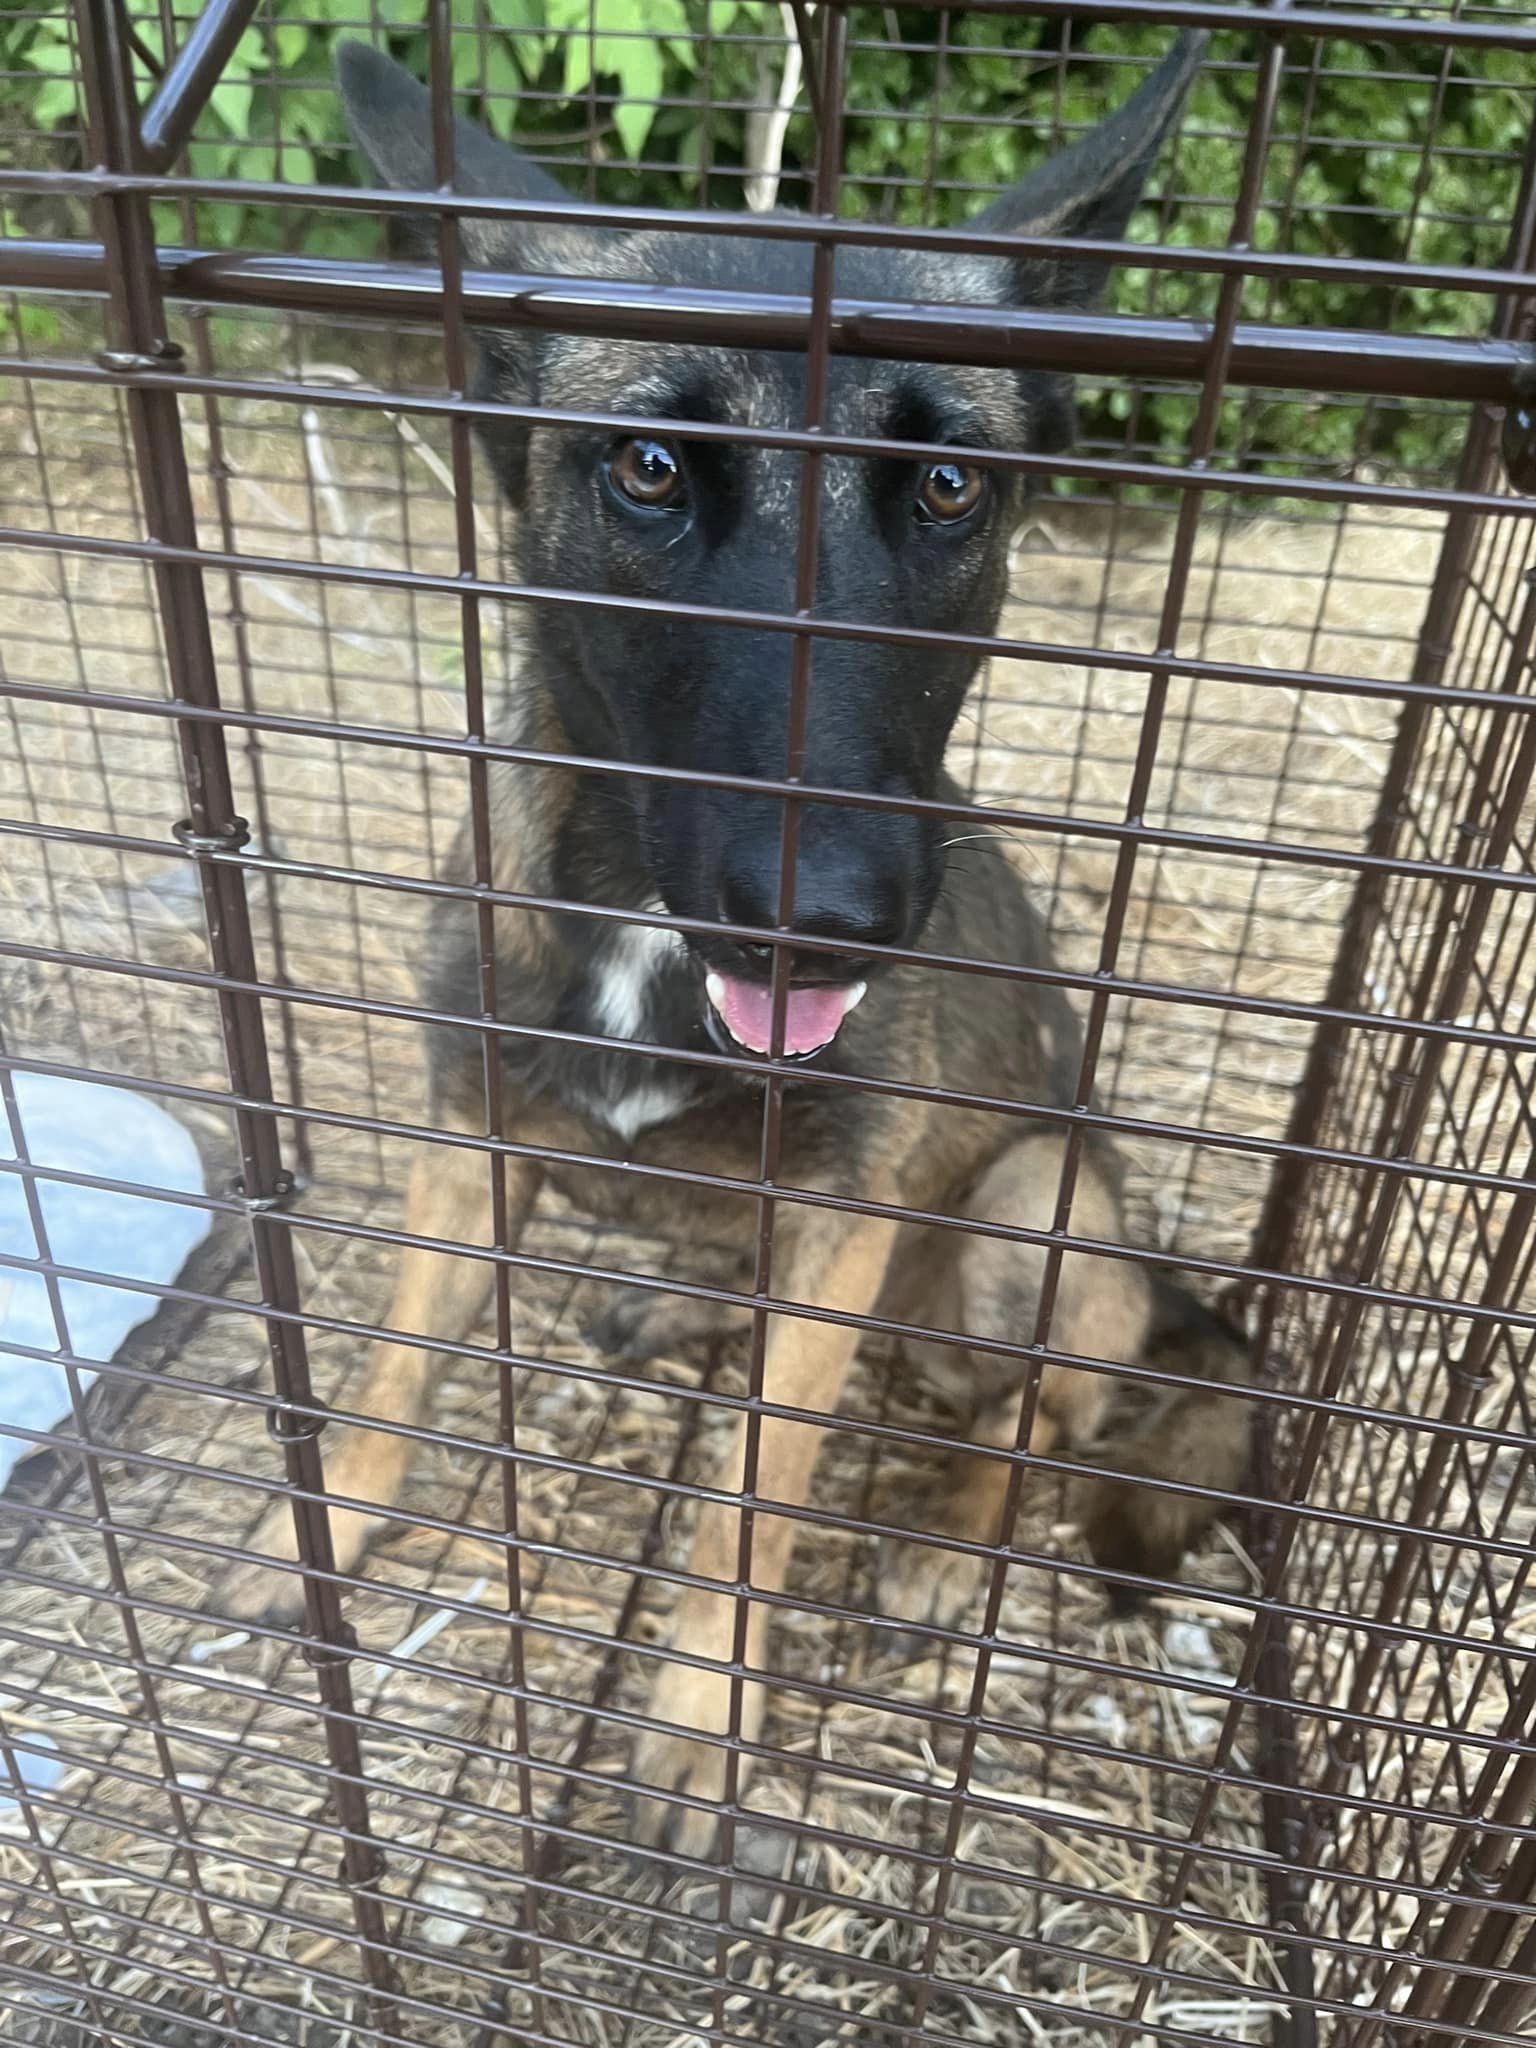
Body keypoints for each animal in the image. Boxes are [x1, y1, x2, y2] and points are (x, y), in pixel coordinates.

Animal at [217, 32, 1253, 1859]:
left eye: (948, 484)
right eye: (646, 470)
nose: (827, 914)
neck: (641, 921)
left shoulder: (840, 1221)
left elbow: (750, 1497)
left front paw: (704, 1709)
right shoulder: (465, 1145)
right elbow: (396, 1367)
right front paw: (322, 1534)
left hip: (1029, 1216)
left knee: (1032, 1433)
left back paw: (939, 1539)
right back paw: (672, 1310)